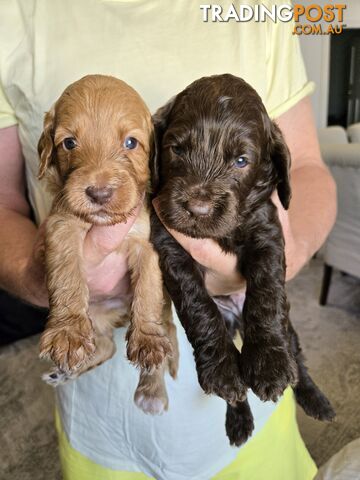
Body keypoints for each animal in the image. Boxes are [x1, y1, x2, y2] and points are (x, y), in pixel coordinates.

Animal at [38, 73, 179, 414]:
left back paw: (151, 391)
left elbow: (147, 290)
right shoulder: (62, 226)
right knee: (104, 347)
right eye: (69, 143)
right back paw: (65, 371)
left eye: (130, 143)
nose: (99, 193)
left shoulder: (147, 243)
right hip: (95, 315)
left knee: (165, 333)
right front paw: (67, 332)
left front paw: (147, 340)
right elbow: (66, 274)